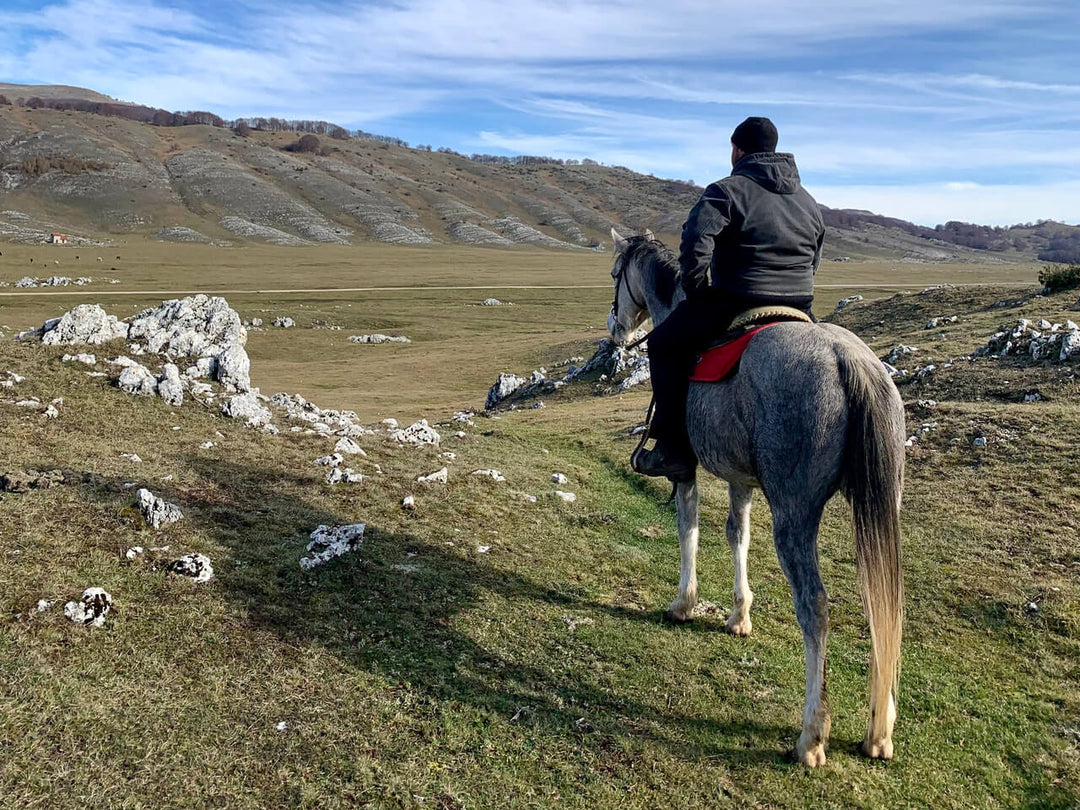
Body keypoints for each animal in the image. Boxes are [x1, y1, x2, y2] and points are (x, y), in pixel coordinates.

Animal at [606, 229, 905, 767]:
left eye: (616, 273)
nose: (614, 330)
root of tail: (846, 360)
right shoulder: (740, 479)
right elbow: (737, 535)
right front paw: (739, 615)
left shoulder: (687, 469)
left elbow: (689, 527)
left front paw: (684, 603)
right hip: (882, 507)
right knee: (883, 602)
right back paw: (879, 730)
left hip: (795, 514)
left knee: (815, 605)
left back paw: (811, 737)